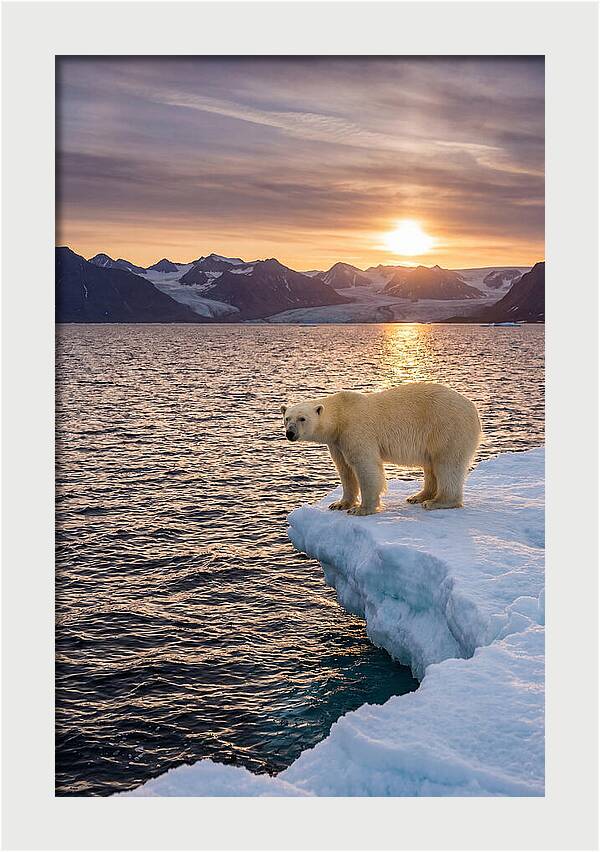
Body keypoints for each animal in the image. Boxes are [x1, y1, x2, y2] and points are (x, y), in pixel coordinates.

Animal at [281, 382, 481, 514]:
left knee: (447, 463)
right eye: (287, 418)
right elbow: (345, 469)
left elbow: (365, 467)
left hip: (447, 427)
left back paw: (437, 502)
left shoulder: (356, 430)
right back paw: (418, 496)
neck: (341, 415)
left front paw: (362, 509)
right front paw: (339, 504)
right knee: (431, 465)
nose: (290, 433)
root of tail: (473, 408)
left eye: (302, 418)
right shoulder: (337, 442)